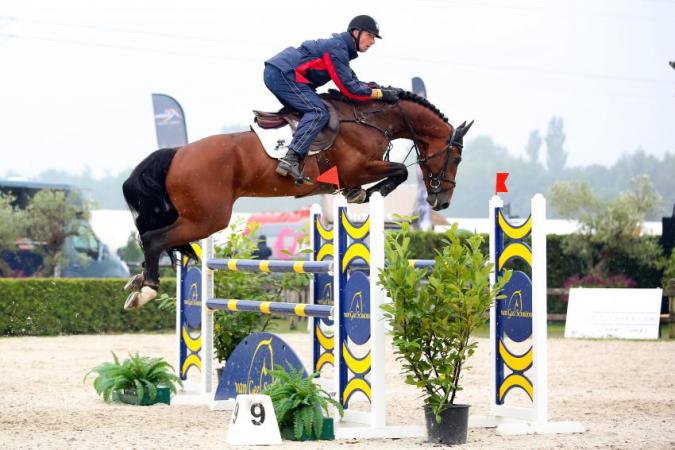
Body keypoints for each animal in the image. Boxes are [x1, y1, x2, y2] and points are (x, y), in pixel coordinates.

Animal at [122, 90, 473, 309]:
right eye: (456, 157)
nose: (442, 202)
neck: (369, 120)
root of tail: (176, 153)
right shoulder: (357, 168)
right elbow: (398, 170)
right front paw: (368, 193)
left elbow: (396, 171)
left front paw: (363, 193)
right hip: (208, 218)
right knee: (153, 239)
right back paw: (146, 289)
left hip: (198, 217)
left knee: (153, 238)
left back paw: (137, 281)